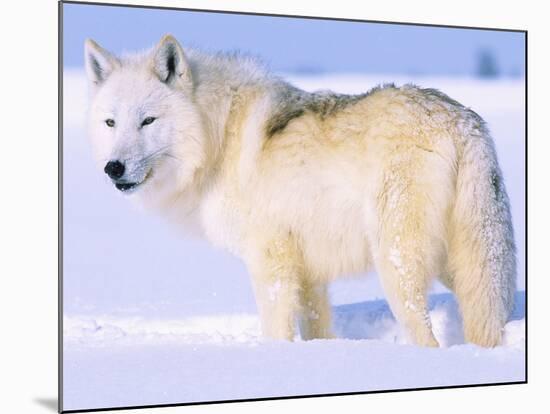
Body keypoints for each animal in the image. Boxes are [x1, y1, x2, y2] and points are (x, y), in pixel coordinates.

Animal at [85, 34, 516, 346]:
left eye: (148, 121)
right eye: (110, 122)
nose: (113, 168)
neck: (217, 139)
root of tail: (462, 121)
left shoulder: (270, 263)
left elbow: (277, 331)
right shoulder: (309, 274)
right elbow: (316, 329)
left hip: (397, 266)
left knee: (427, 338)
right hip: (457, 264)